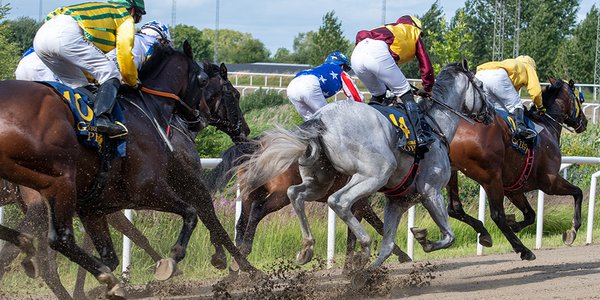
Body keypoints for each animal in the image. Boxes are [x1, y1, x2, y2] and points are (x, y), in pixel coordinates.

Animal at [0, 41, 254, 298]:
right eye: (235, 94)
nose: (245, 130)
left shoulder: (100, 204)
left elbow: (118, 244)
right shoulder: (168, 184)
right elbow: (206, 216)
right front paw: (239, 266)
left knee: (37, 253)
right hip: (50, 194)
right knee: (41, 253)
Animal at [448, 77, 588, 260]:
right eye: (580, 99)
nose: (585, 122)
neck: (546, 125)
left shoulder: (514, 188)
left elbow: (531, 215)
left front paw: (514, 225)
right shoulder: (550, 182)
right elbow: (578, 192)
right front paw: (572, 231)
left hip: (452, 171)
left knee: (454, 208)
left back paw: (483, 232)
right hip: (491, 177)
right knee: (497, 215)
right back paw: (523, 249)